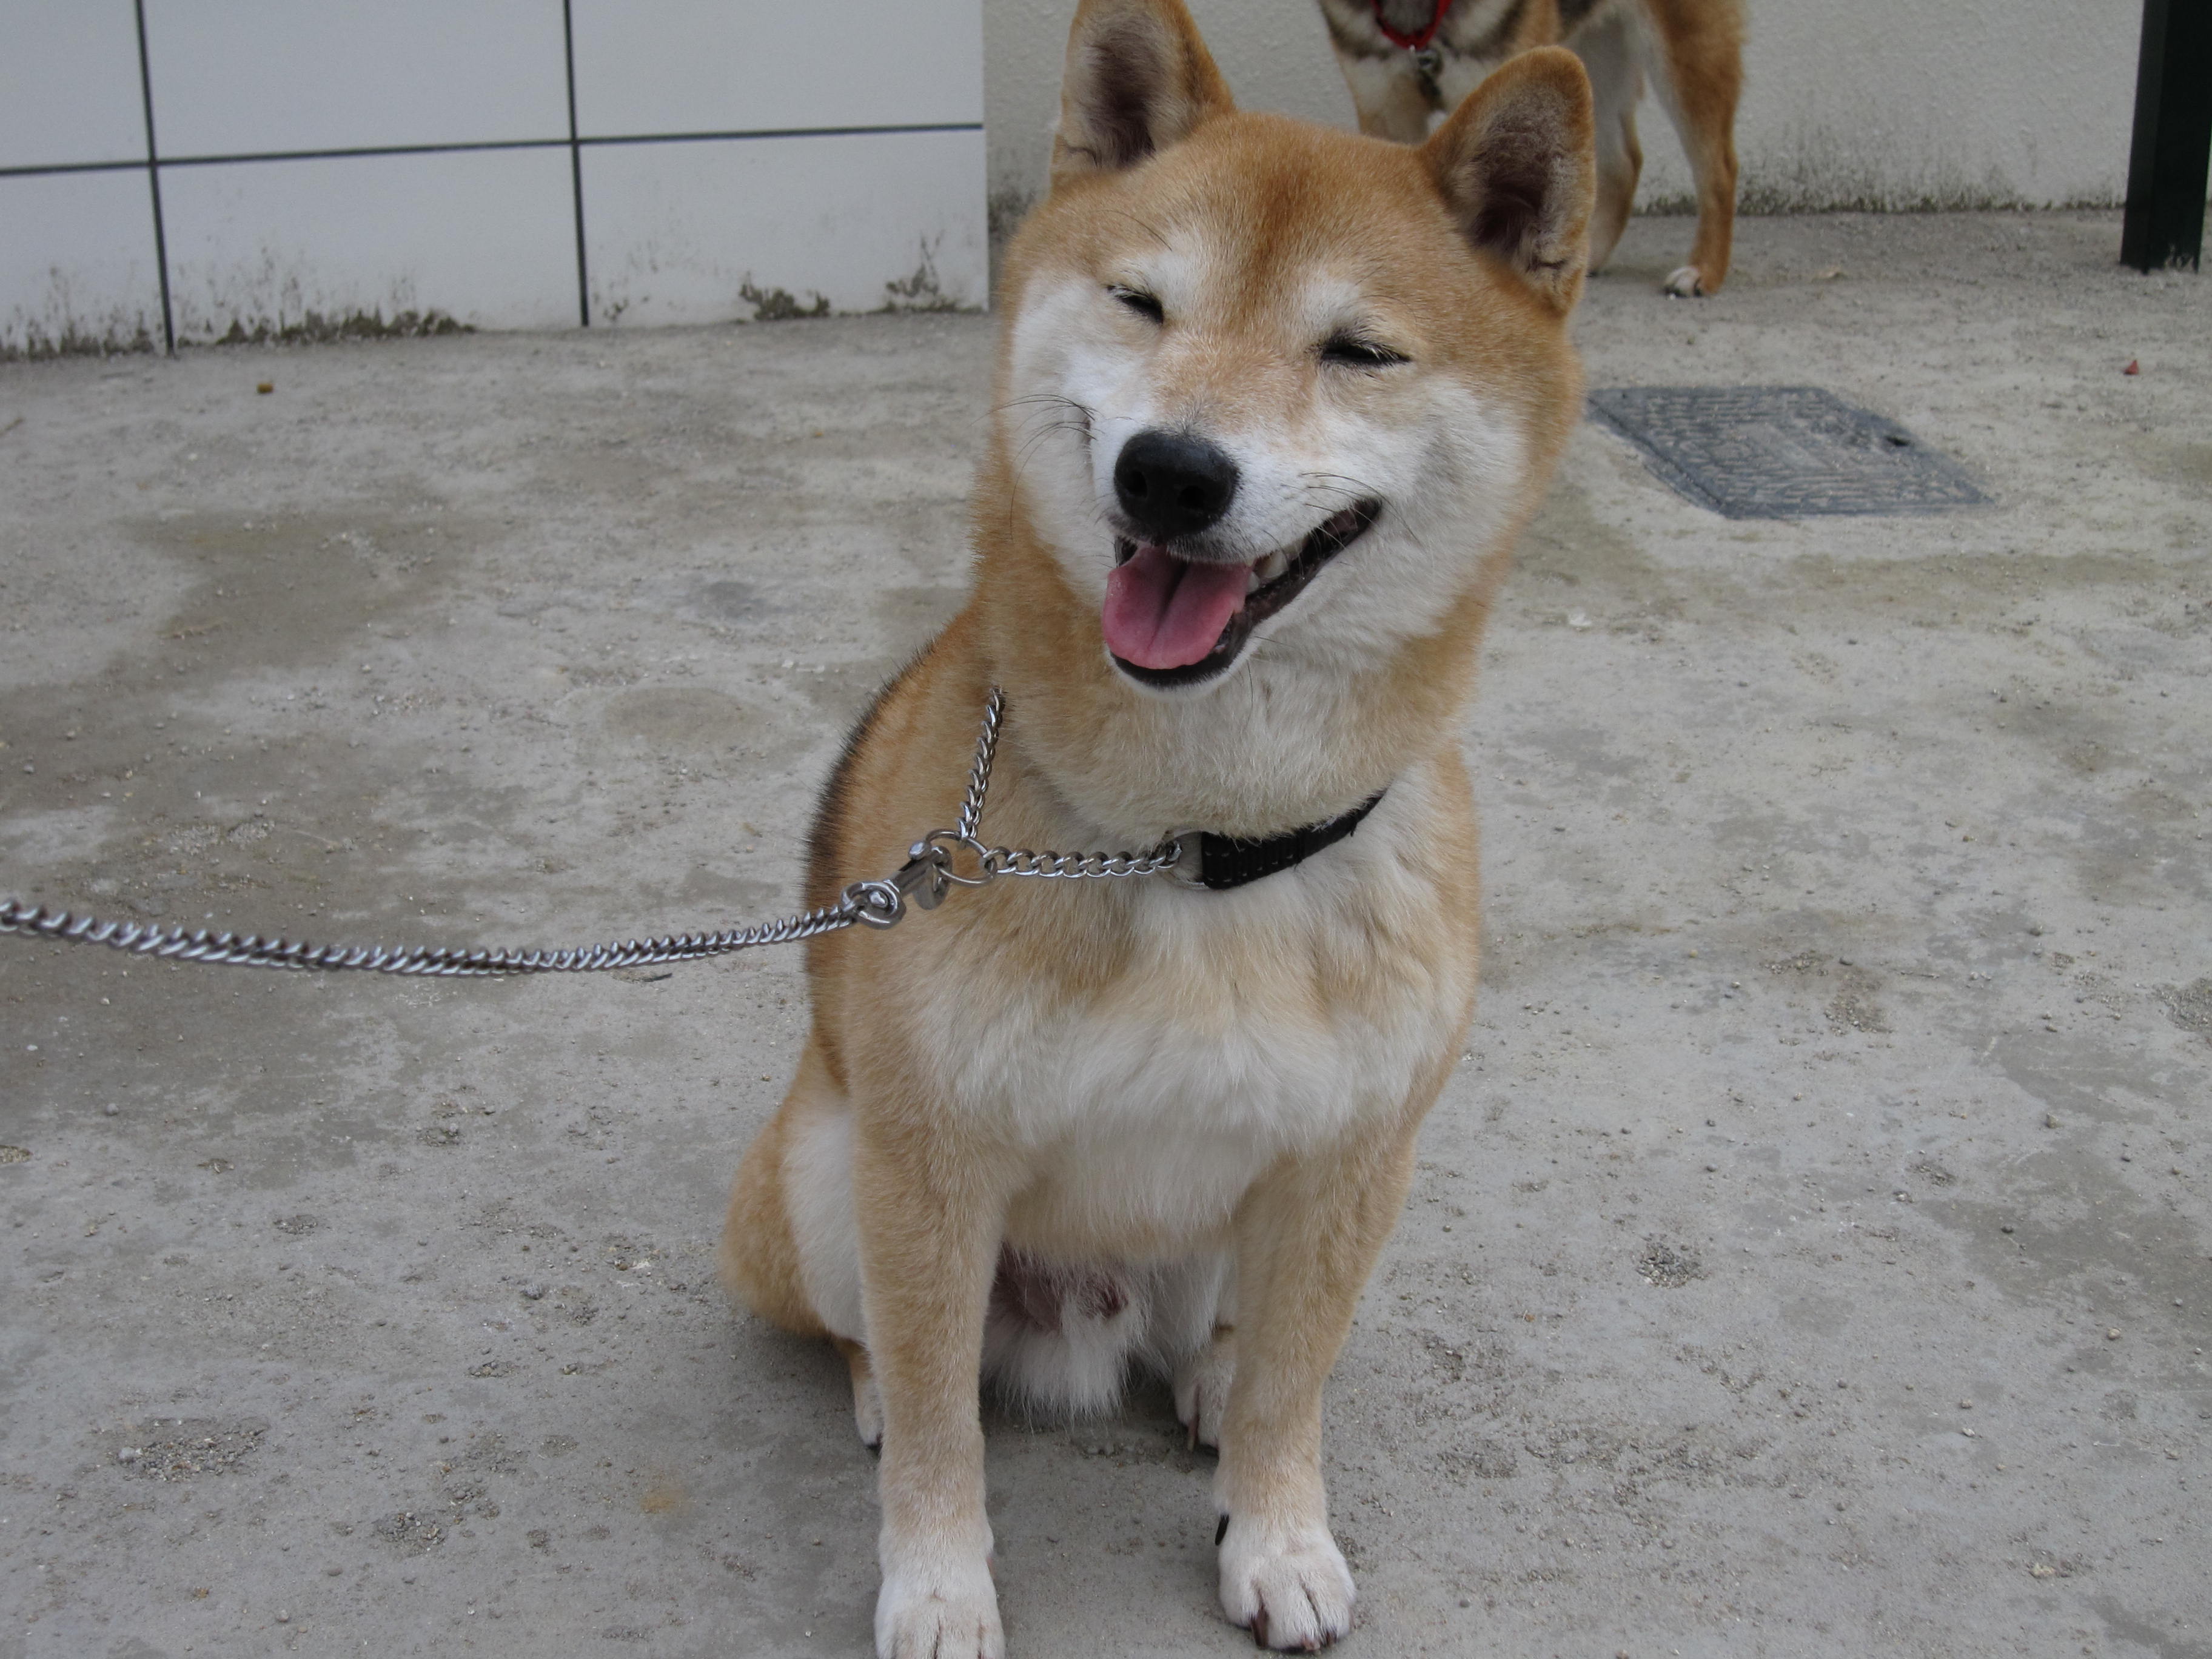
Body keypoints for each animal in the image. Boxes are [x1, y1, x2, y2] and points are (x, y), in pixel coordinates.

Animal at [717, 2, 1593, 1651]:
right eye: (1142, 302)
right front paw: (938, 1581)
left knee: (1237, 1339)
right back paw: (871, 1391)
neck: (1192, 845)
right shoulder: (929, 1170)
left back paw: (1207, 1383)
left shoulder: (1353, 1163)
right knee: (893, 1356)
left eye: (1359, 350)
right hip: (825, 1175)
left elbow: (1297, 1387)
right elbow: (942, 1428)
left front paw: (1278, 1530)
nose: (1173, 470)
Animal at [1318, 0, 1740, 295]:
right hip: (1587, 63)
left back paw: (1704, 270)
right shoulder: (1385, 109)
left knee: (1719, 169)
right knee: (1625, 162)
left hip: (1686, 52)